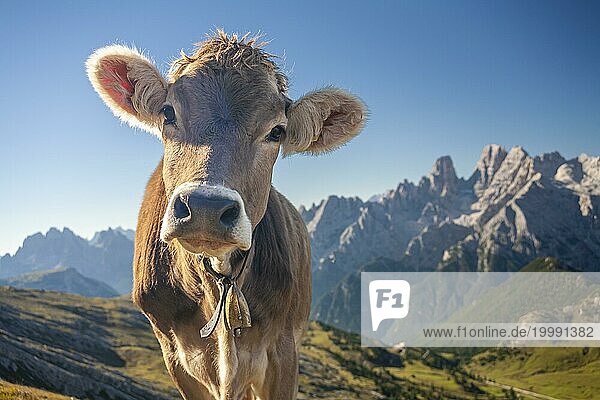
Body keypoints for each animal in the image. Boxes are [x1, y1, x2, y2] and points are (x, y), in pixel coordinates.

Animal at [85, 32, 366, 400]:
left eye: (277, 131)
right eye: (168, 112)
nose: (206, 207)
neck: (220, 279)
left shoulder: (283, 353)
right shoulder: (176, 357)